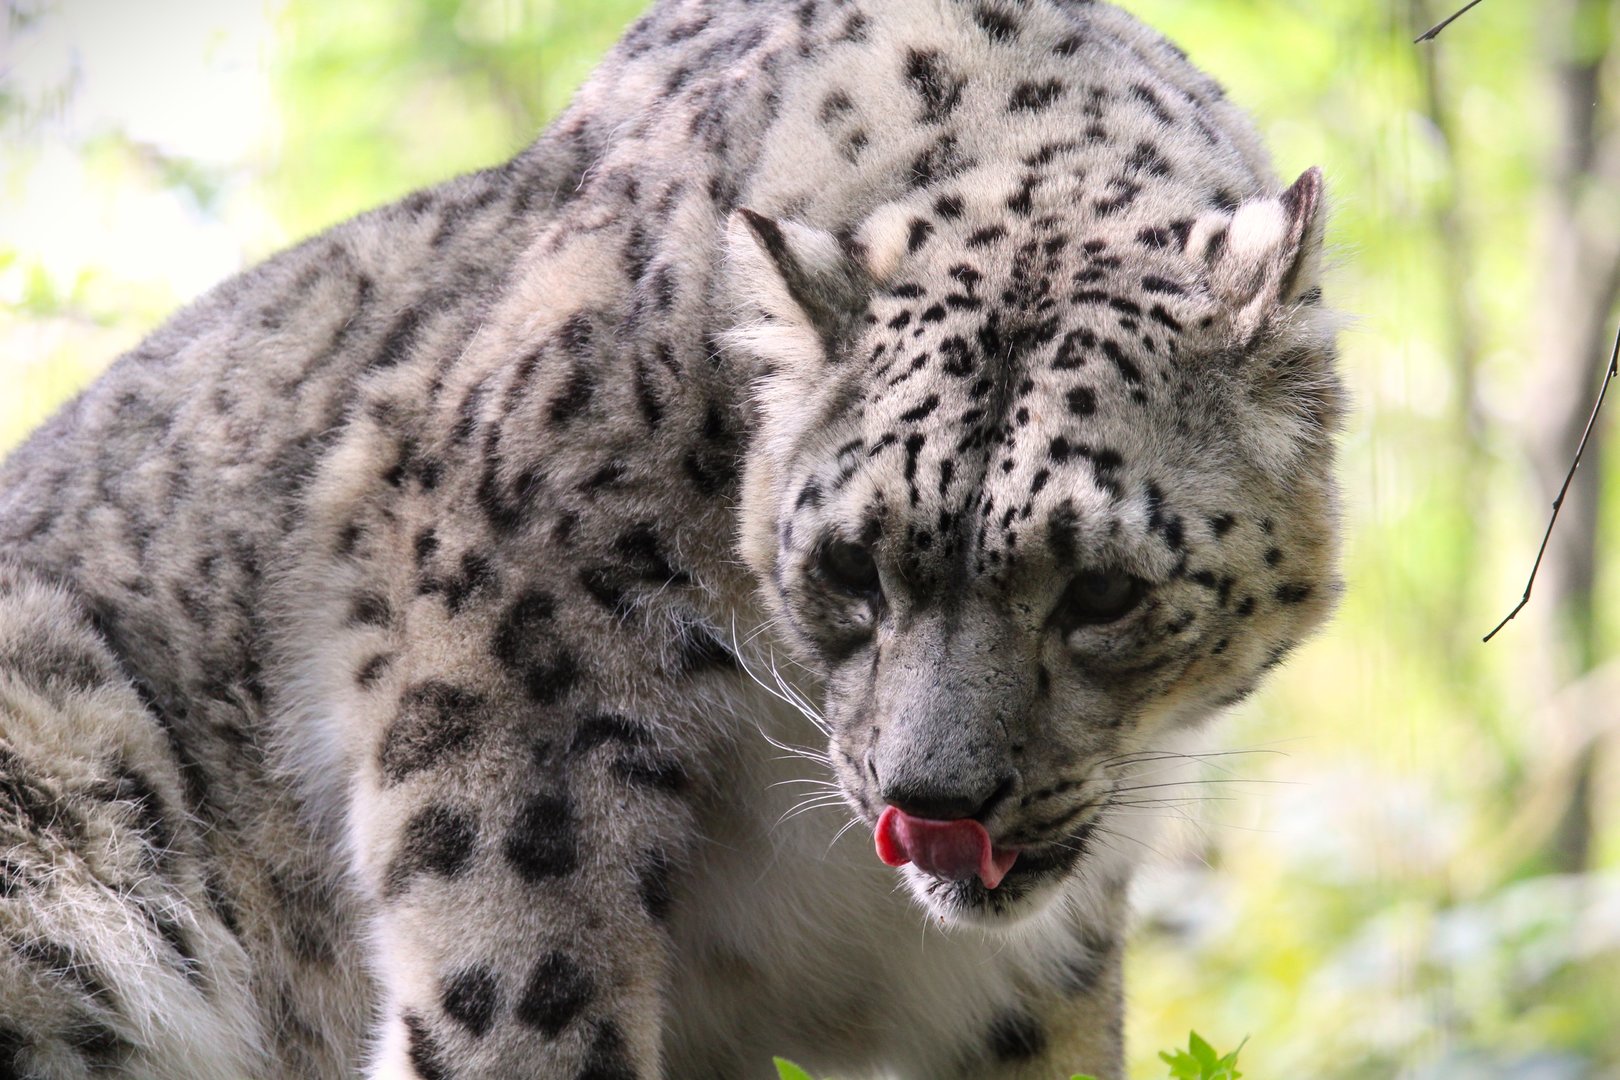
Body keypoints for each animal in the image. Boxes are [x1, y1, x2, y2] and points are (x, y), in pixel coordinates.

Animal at [0, 1, 1344, 1077]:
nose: (933, 799)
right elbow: (525, 995)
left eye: (1104, 591)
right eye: (851, 568)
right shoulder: (520, 709)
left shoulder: (1032, 983)